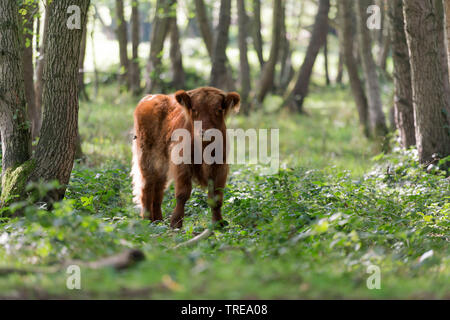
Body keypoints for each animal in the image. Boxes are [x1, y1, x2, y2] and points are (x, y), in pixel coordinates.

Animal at [132, 86, 241, 229]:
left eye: (218, 110)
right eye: (194, 109)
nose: (205, 131)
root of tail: (152, 97)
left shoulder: (219, 167)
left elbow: (216, 197)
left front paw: (218, 224)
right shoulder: (182, 165)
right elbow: (182, 194)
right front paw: (176, 223)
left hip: (162, 164)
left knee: (158, 187)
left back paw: (158, 220)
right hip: (147, 157)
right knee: (147, 185)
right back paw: (147, 220)